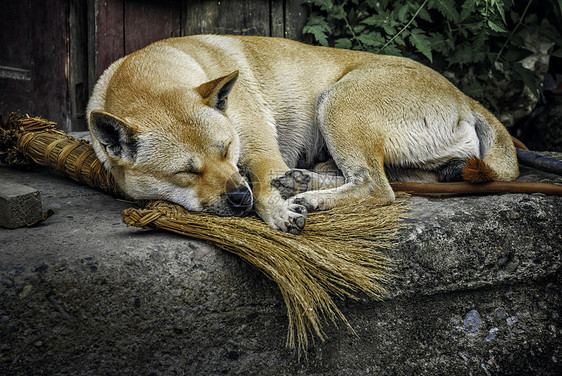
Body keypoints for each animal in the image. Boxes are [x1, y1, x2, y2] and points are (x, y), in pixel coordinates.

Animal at [85, 36, 520, 235]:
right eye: (187, 172)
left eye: (228, 150)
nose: (238, 197)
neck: (147, 79)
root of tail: (464, 96)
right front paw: (278, 199)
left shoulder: (259, 149)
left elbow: (263, 181)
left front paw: (276, 210)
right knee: (381, 178)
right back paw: (304, 181)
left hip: (338, 102)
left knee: (376, 187)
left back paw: (307, 194)